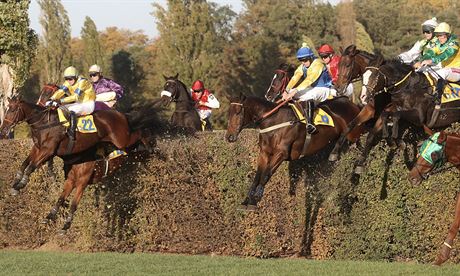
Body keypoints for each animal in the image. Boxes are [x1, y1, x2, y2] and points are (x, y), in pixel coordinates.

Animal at [0, 96, 155, 195]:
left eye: (12, 110)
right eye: (7, 109)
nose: (3, 130)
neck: (44, 122)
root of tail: (121, 115)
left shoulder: (48, 150)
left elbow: (31, 166)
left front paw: (21, 183)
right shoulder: (38, 148)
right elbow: (25, 163)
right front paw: (15, 184)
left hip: (122, 139)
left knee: (141, 132)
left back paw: (151, 147)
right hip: (120, 144)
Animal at [226, 94, 362, 208]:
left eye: (237, 112)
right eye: (229, 112)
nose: (229, 136)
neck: (273, 121)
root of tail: (350, 102)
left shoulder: (281, 153)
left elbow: (266, 174)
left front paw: (257, 197)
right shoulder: (264, 153)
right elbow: (257, 176)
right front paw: (248, 200)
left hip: (354, 132)